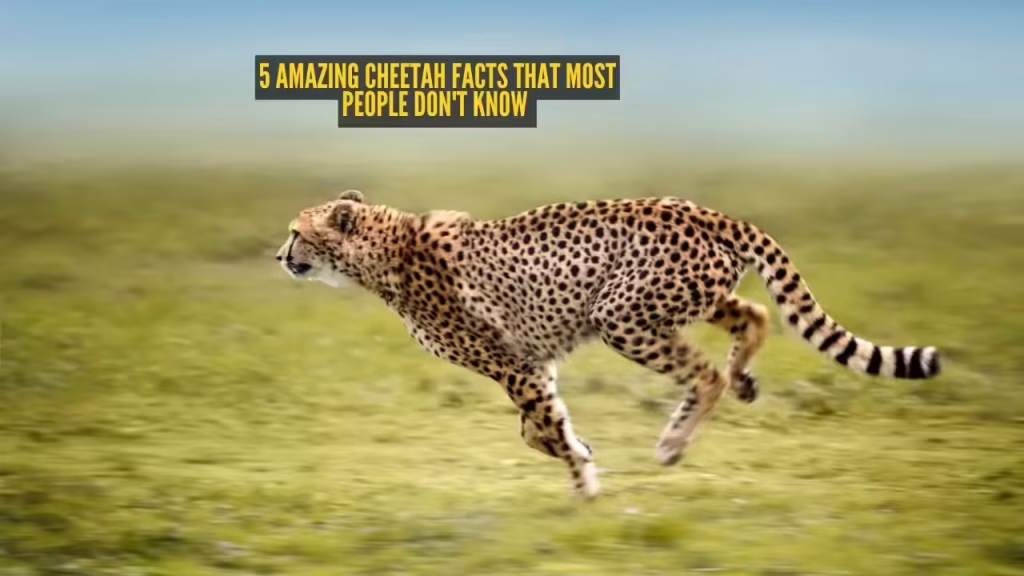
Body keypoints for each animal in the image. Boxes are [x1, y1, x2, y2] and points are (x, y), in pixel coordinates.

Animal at [275, 189, 941, 499]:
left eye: (296, 233)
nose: (280, 256)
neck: (383, 249)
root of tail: (702, 211)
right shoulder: (531, 364)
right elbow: (537, 429)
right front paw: (582, 451)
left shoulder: (514, 366)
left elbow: (540, 426)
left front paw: (584, 485)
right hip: (686, 298)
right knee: (753, 314)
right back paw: (745, 379)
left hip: (623, 315)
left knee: (705, 374)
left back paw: (675, 441)